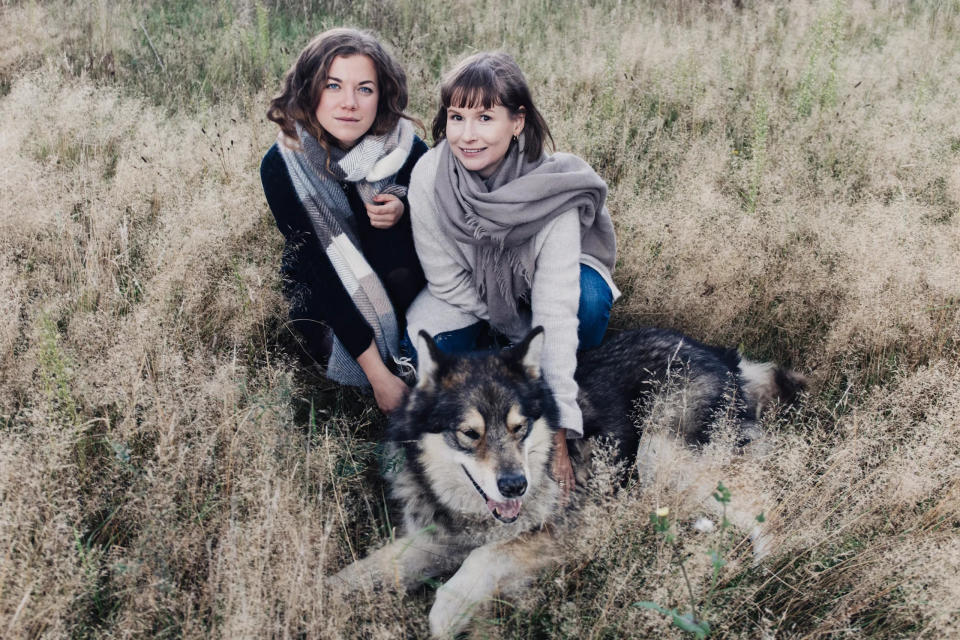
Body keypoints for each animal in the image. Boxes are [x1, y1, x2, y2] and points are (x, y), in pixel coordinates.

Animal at [330, 328, 804, 636]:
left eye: (520, 427)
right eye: (469, 434)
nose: (515, 486)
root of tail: (722, 356)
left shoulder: (569, 528)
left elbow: (479, 562)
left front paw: (450, 615)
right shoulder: (438, 537)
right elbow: (364, 571)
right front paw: (319, 597)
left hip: (660, 454)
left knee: (772, 510)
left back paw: (765, 573)